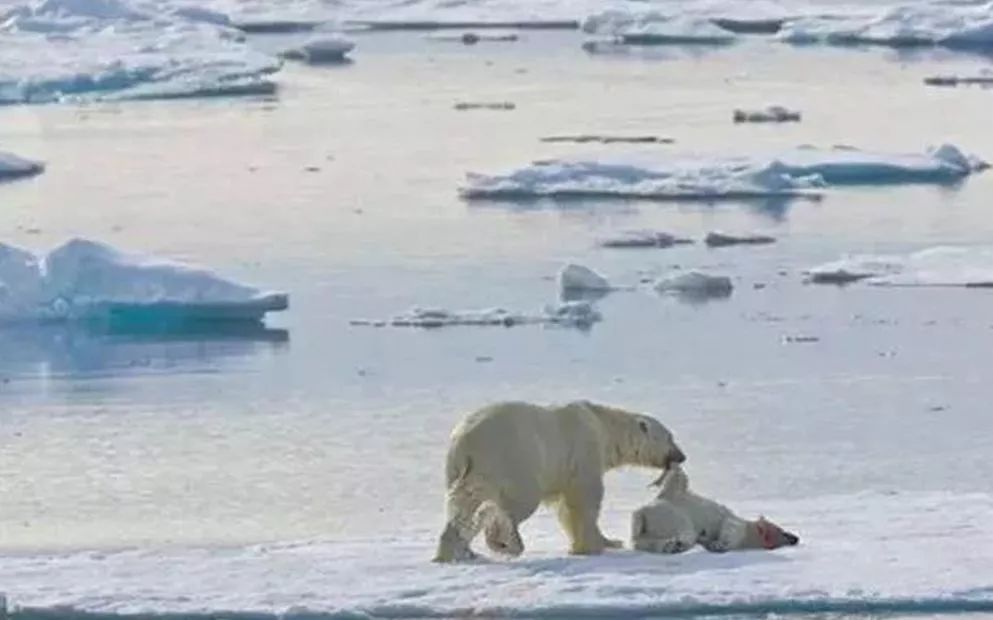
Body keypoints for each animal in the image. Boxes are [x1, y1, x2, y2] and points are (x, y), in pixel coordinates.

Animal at [430, 400, 684, 564]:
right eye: (670, 437)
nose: (682, 456)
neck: (602, 425)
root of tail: (464, 443)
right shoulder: (584, 453)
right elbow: (584, 501)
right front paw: (595, 545)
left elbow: (564, 506)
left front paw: (608, 542)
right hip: (511, 460)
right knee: (512, 504)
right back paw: (507, 543)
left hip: (461, 472)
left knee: (463, 506)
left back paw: (456, 553)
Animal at [636, 462, 800, 556]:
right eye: (782, 531)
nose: (795, 538)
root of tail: (643, 514)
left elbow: (728, 532)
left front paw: (717, 545)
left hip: (671, 517)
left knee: (682, 533)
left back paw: (673, 545)